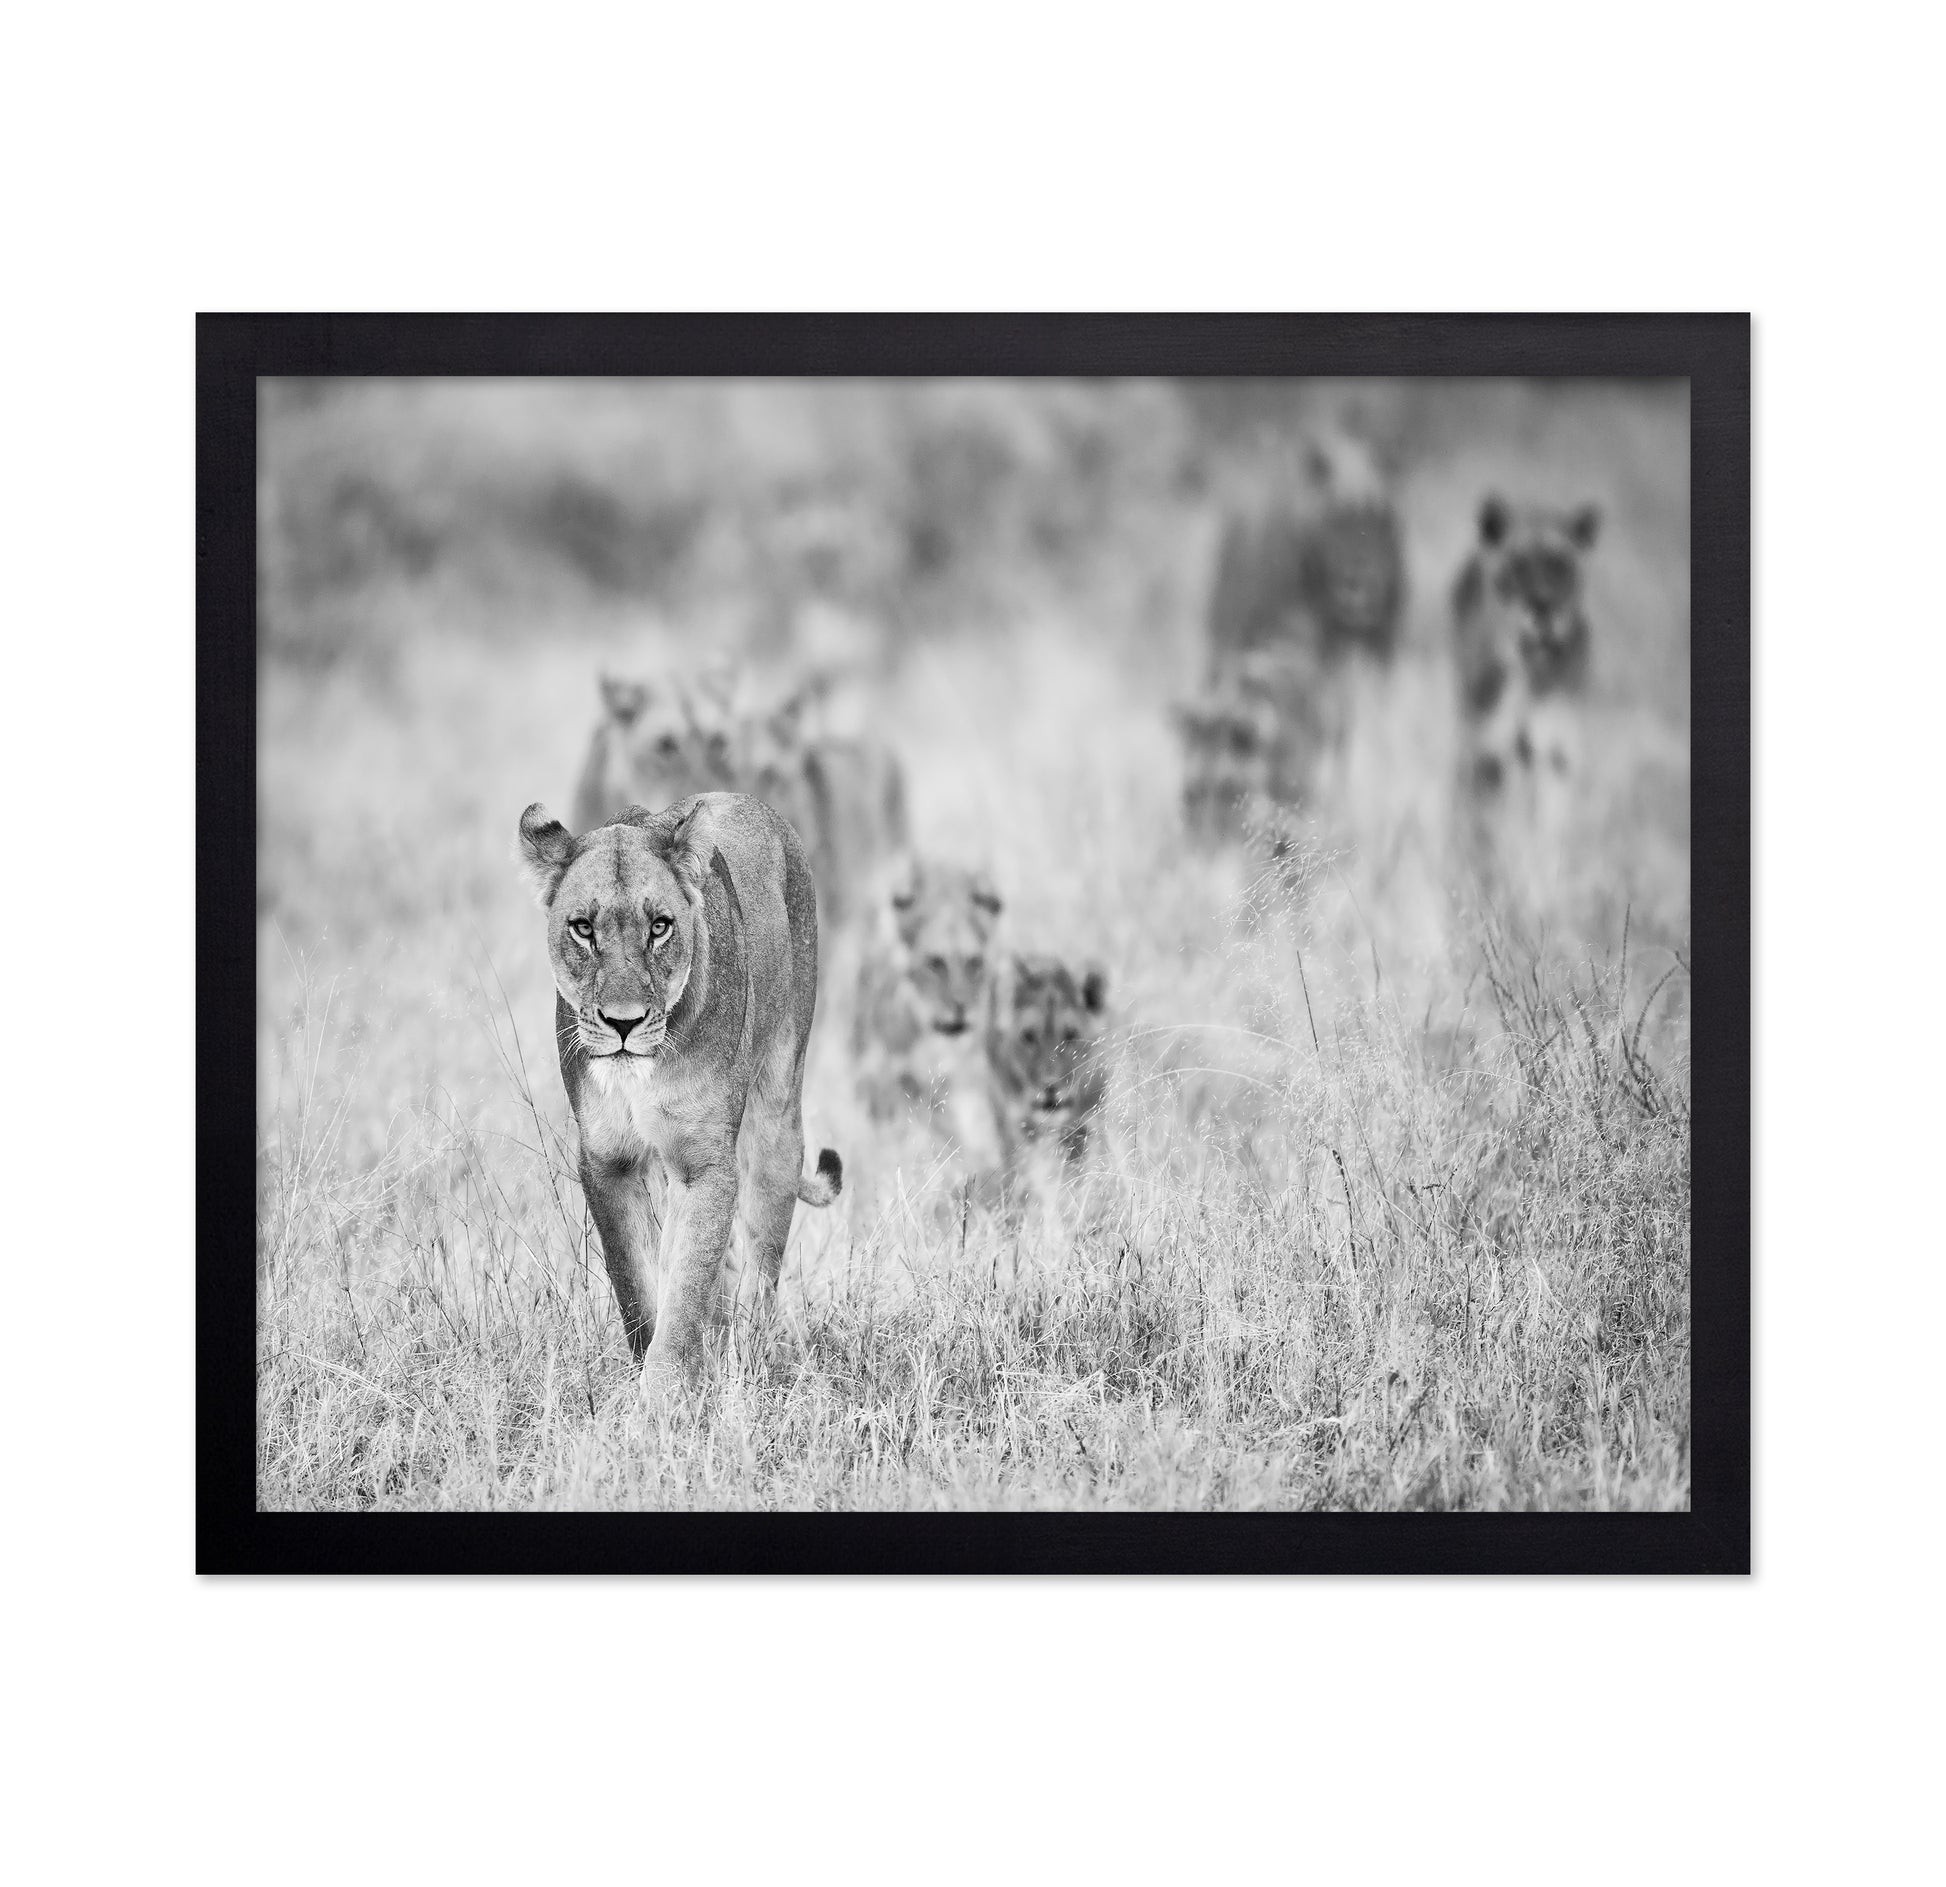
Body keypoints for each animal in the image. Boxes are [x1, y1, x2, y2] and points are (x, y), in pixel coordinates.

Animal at [516, 791, 841, 1395]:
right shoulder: (606, 1158)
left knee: (759, 1268)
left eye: (660, 927)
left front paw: (664, 1400)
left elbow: (687, 1287)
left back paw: (745, 1366)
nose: (623, 1023)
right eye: (582, 928)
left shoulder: (704, 1162)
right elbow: (639, 1288)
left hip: (777, 1113)